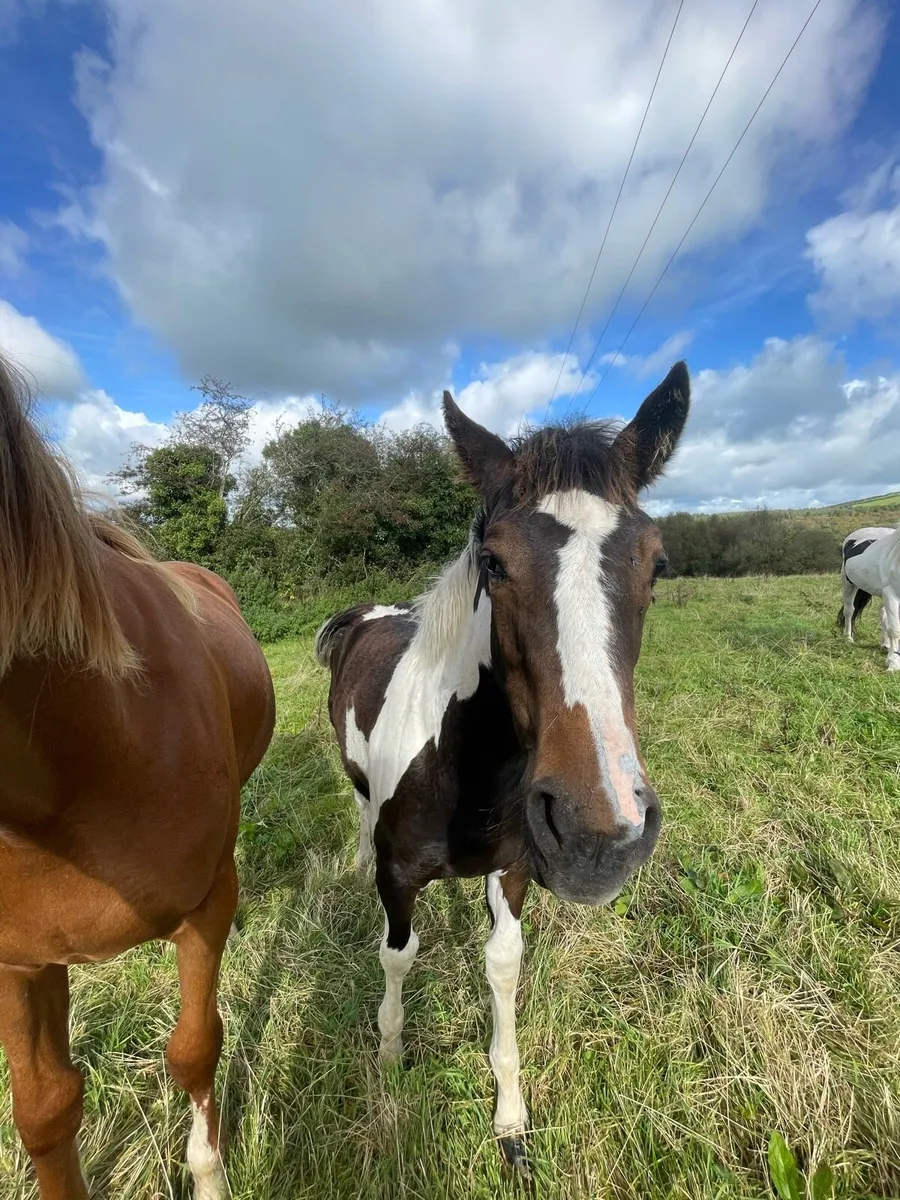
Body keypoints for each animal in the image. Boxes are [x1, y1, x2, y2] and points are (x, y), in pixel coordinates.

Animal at [315, 361, 690, 1171]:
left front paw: (511, 1115)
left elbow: (503, 965)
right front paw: (388, 1060)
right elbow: (397, 955)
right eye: (493, 561)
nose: (598, 835)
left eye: (658, 564)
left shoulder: (514, 867)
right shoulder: (398, 879)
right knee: (359, 810)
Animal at [838, 523, 900, 670]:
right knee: (849, 611)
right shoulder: (891, 594)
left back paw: (885, 645)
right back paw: (848, 638)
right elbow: (895, 629)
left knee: (883, 614)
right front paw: (893, 663)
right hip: (849, 584)